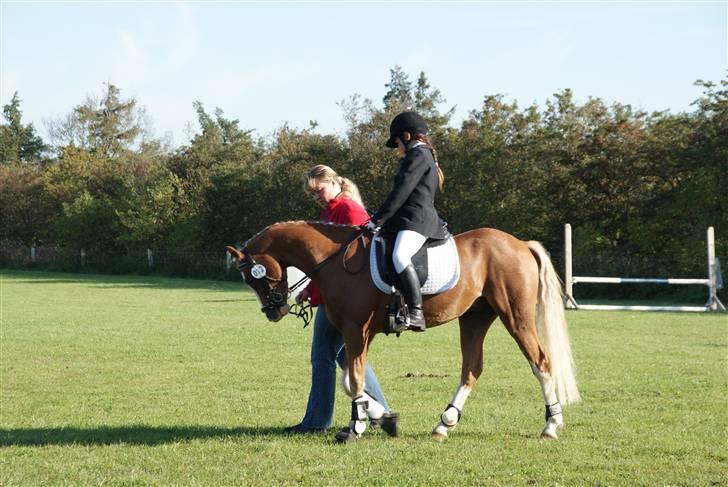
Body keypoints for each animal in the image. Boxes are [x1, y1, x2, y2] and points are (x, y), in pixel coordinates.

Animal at [226, 221, 580, 442]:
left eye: (254, 277)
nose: (273, 312)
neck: (335, 261)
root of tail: (520, 244)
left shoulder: (356, 329)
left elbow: (353, 380)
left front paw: (357, 428)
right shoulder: (357, 332)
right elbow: (349, 379)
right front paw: (381, 418)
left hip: (515, 316)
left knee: (540, 363)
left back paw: (551, 425)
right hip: (475, 317)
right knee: (472, 369)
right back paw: (444, 424)